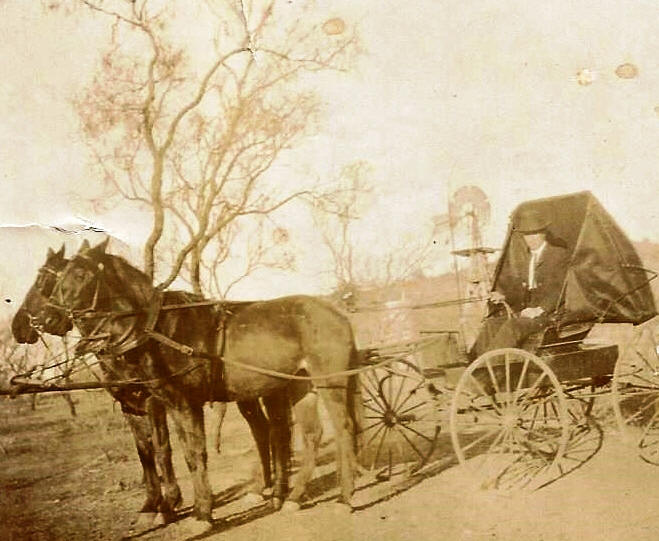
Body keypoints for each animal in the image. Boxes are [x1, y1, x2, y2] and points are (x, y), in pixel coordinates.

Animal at [38, 239, 364, 524]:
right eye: (60, 277)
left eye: (81, 275)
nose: (47, 319)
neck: (158, 329)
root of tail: (336, 312)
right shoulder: (170, 405)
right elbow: (185, 455)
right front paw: (194, 508)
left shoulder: (184, 404)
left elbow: (195, 453)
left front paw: (201, 514)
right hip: (299, 386)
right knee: (310, 435)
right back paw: (294, 498)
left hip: (330, 382)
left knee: (343, 429)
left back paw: (344, 499)